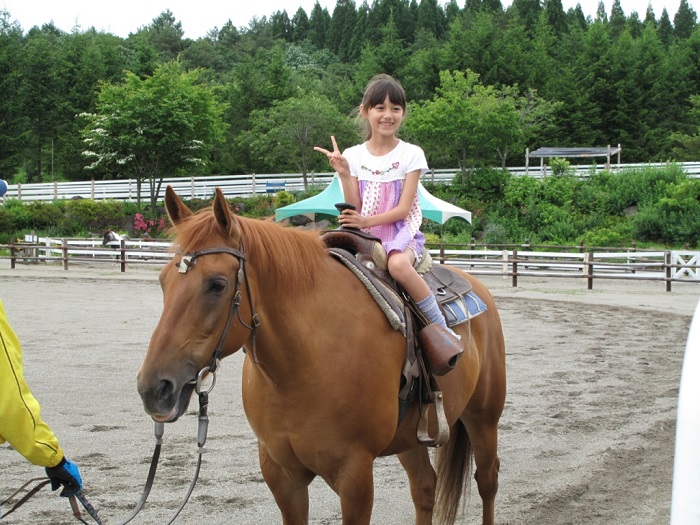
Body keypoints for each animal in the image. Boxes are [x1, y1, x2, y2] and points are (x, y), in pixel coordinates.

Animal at [137, 186, 506, 520]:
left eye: (217, 284)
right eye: (163, 281)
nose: (154, 388)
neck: (300, 366)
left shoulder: (355, 475)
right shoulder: (281, 474)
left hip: (483, 417)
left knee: (487, 480)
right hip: (413, 436)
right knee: (425, 487)